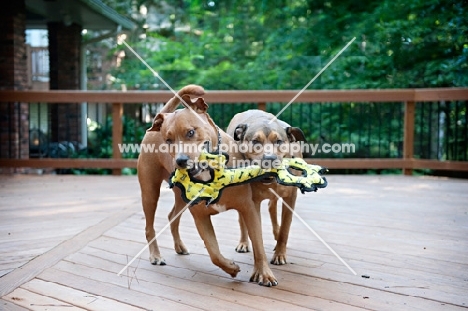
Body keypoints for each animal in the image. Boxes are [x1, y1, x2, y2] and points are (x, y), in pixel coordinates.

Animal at [138, 86, 278, 286]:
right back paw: (155, 255)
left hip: (179, 199)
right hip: (149, 192)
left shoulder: (248, 208)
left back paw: (179, 246)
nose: (180, 161)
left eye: (190, 132)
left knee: (172, 216)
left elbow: (258, 245)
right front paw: (231, 268)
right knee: (149, 228)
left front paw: (264, 273)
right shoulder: (200, 217)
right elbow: (213, 252)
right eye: (168, 140)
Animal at [226, 109, 306, 266]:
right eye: (256, 141)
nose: (270, 158)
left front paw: (280, 254)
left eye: (279, 141)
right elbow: (256, 230)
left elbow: (285, 228)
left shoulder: (290, 198)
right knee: (242, 219)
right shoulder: (253, 202)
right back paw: (243, 242)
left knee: (271, 207)